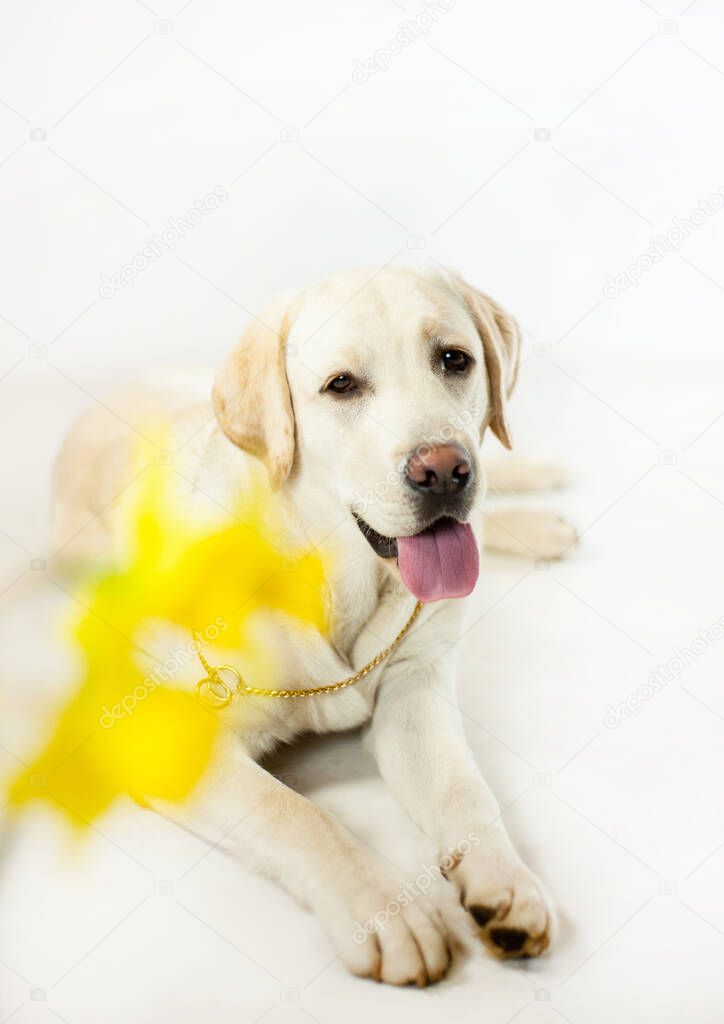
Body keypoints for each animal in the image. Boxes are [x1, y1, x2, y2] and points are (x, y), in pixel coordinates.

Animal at [52, 264, 577, 983]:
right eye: (342, 385)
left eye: (454, 360)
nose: (445, 470)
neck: (334, 572)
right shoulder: (168, 742)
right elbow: (296, 815)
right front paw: (387, 911)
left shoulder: (416, 691)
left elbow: (466, 793)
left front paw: (508, 881)